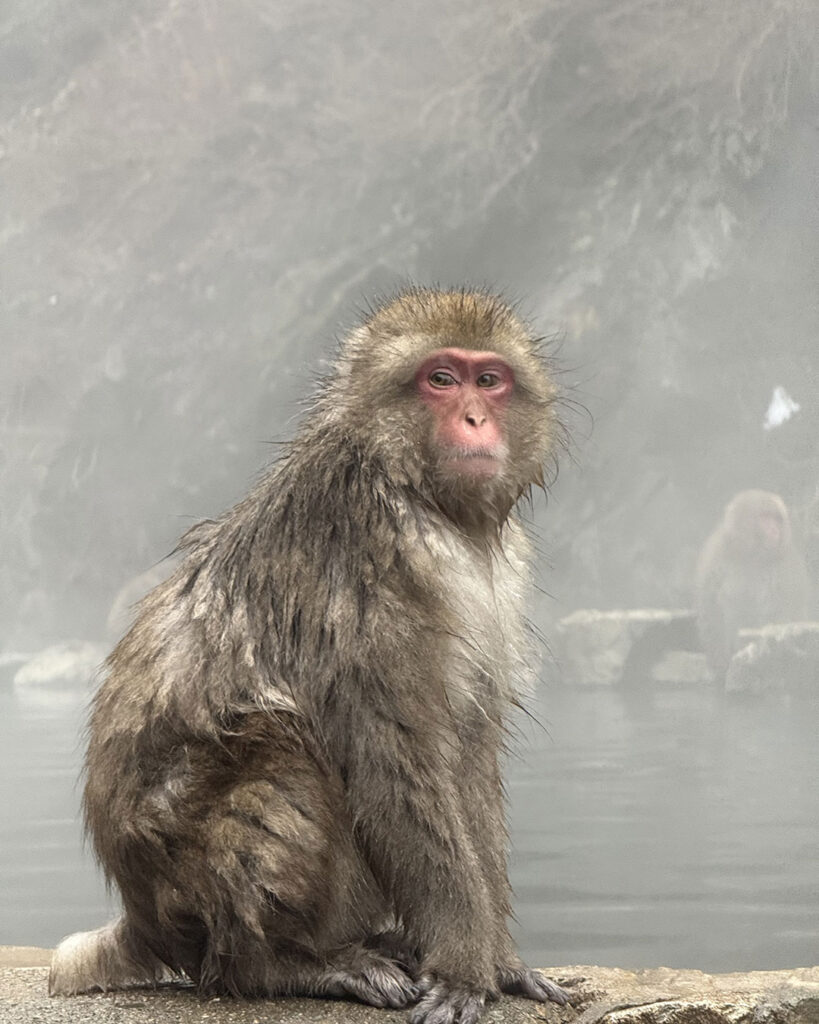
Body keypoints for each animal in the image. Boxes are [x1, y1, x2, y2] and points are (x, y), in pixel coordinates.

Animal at [49, 289, 569, 1024]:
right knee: (281, 751)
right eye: (440, 378)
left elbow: (467, 749)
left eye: (489, 379)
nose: (475, 418)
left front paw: (500, 963)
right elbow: (392, 758)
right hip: (190, 894)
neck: (408, 485)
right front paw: (465, 967)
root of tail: (143, 918)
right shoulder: (364, 573)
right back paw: (285, 965)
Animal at [695, 489, 809, 679]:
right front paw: (719, 663)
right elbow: (710, 606)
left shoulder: (785, 567)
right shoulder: (717, 553)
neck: (751, 555)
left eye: (777, 519)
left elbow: (779, 611)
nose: (775, 529)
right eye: (765, 518)